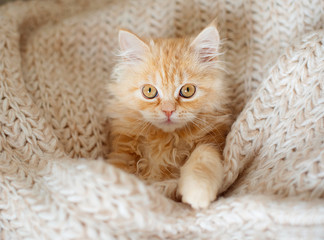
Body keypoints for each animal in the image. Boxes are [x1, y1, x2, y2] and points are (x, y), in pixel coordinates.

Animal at [107, 23, 233, 209]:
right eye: (149, 91)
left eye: (187, 90)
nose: (168, 111)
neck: (165, 141)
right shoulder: (122, 151)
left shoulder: (211, 141)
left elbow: (202, 158)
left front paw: (198, 192)